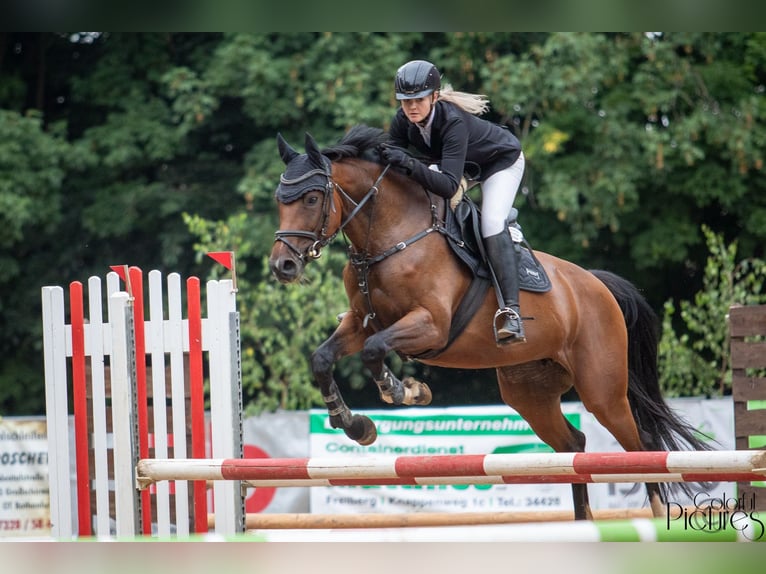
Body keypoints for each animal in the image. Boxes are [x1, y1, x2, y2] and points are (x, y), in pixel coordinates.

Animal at [268, 125, 710, 520]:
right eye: (279, 200)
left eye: (312, 197)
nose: (282, 266)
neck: (391, 237)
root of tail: (597, 284)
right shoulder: (362, 322)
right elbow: (322, 359)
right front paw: (355, 424)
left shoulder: (430, 324)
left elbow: (376, 353)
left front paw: (406, 391)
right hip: (530, 393)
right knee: (573, 444)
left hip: (603, 389)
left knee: (640, 444)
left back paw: (655, 515)